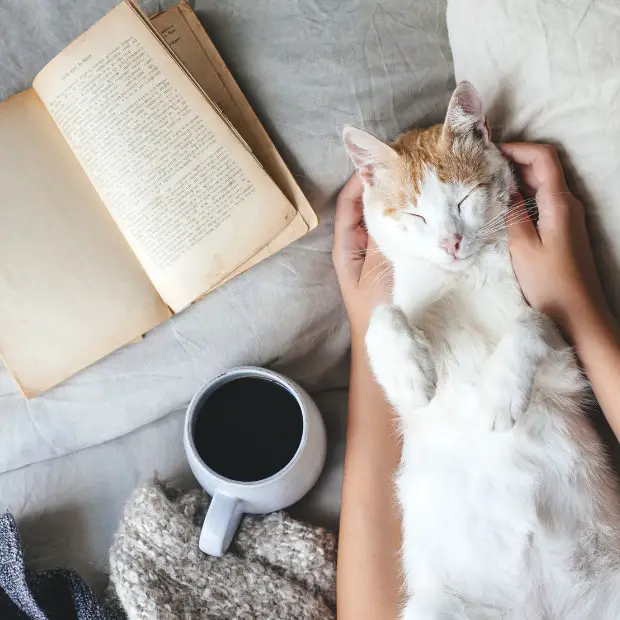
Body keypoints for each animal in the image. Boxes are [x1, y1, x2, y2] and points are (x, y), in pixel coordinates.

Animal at [342, 80, 620, 616]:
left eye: (464, 200)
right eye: (415, 214)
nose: (450, 242)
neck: (466, 278)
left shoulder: (565, 361)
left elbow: (532, 321)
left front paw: (499, 395)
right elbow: (383, 319)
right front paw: (412, 374)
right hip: (436, 606)